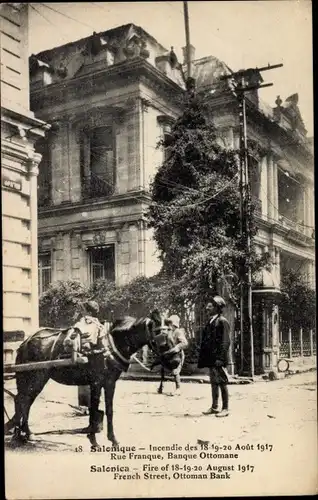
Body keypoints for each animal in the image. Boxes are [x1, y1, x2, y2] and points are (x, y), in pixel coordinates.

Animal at [4, 310, 166, 448]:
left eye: (168, 328)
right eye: (157, 331)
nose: (169, 357)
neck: (109, 343)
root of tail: (25, 342)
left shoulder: (110, 383)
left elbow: (109, 410)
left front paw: (113, 439)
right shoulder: (96, 382)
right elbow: (94, 410)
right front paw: (93, 440)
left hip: (34, 379)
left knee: (24, 401)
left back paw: (25, 433)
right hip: (35, 378)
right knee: (22, 401)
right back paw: (20, 434)